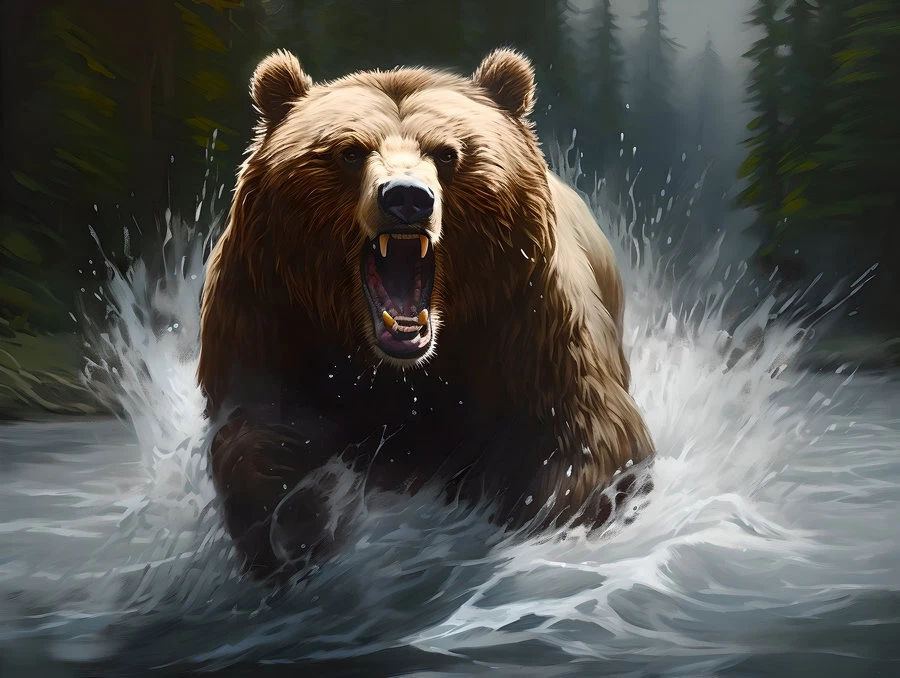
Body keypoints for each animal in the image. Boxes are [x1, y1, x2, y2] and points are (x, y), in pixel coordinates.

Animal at [198, 47, 654, 581]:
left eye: (447, 152)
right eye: (349, 151)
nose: (406, 197)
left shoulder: (530, 321)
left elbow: (586, 441)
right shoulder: (267, 311)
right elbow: (263, 432)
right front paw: (305, 520)